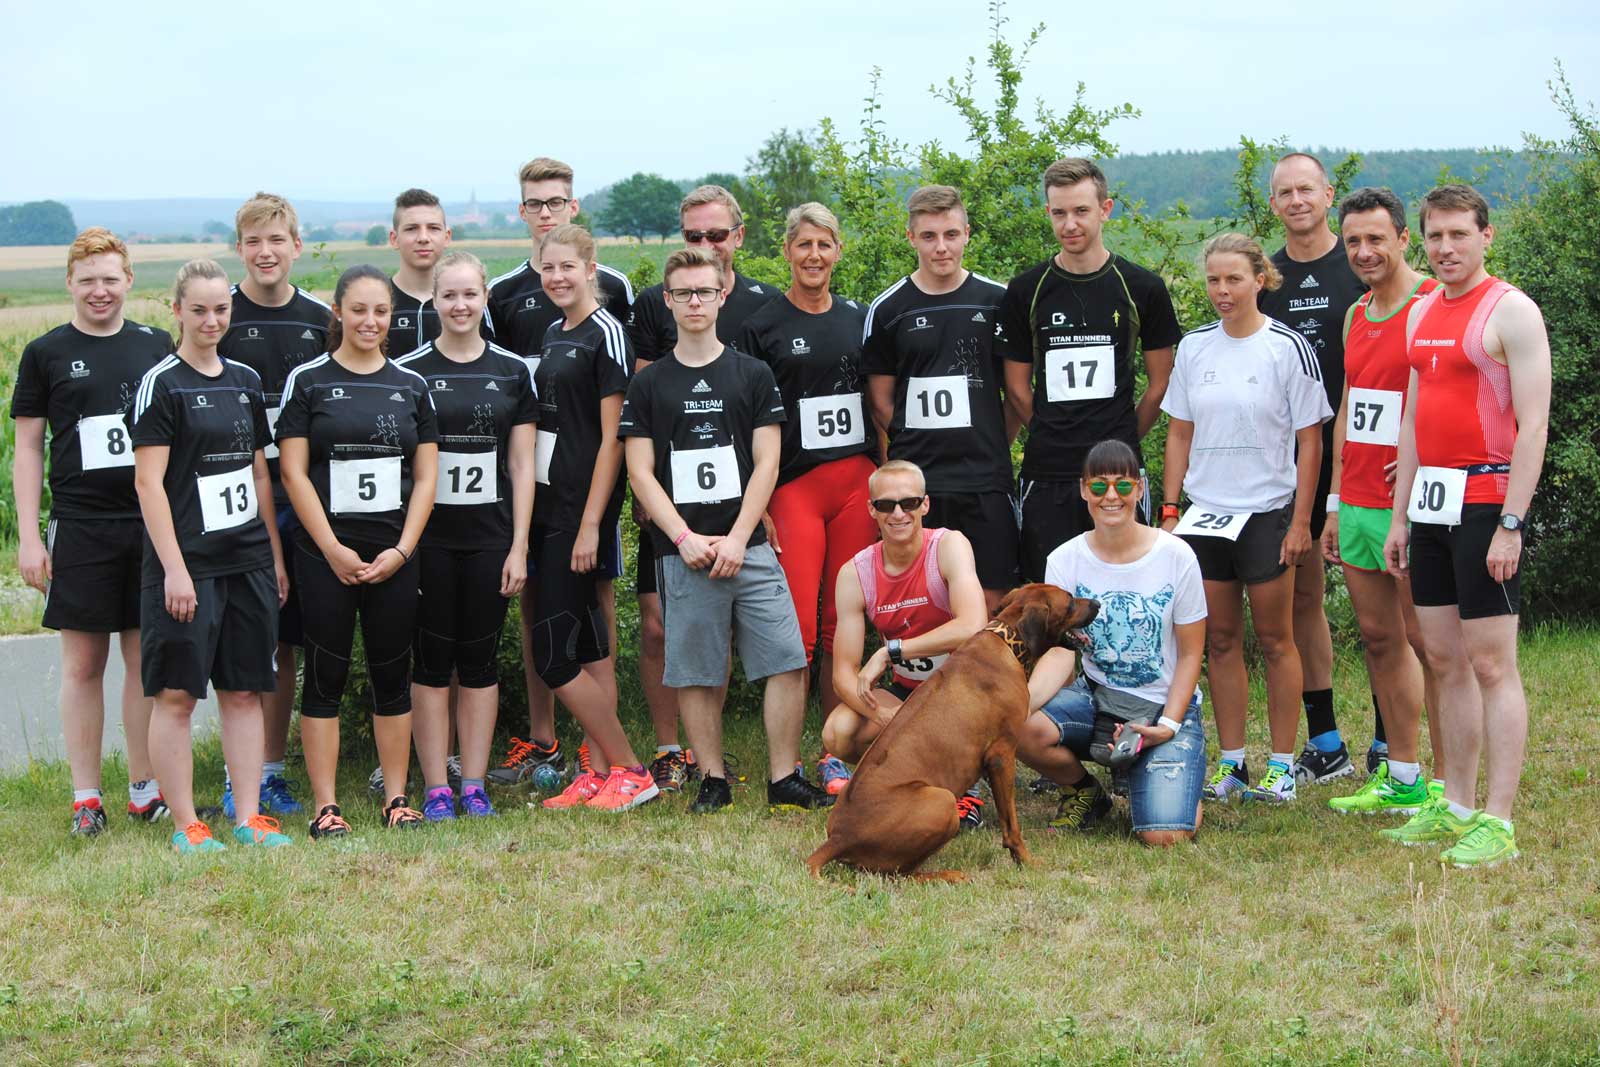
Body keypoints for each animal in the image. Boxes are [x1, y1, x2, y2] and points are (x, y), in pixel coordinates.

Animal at [812, 585, 1100, 883]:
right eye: (1070, 602)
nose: (1098, 604)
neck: (1006, 640)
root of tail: (838, 838)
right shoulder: (1002, 755)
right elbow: (1012, 824)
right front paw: (1026, 860)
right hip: (942, 801)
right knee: (898, 873)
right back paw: (948, 874)